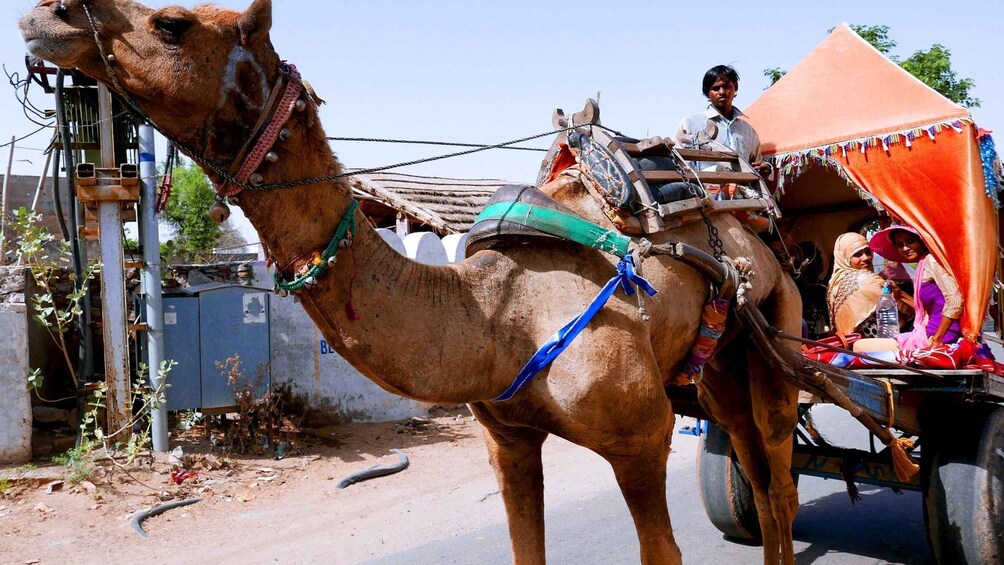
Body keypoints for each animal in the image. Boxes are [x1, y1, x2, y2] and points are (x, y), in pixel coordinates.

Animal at [19, 2, 803, 561]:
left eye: (172, 23)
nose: (48, 13)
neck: (497, 314)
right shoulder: (506, 438)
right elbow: (526, 547)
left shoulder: (641, 433)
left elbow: (663, 548)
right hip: (717, 363)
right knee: (755, 465)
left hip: (780, 322)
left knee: (779, 472)